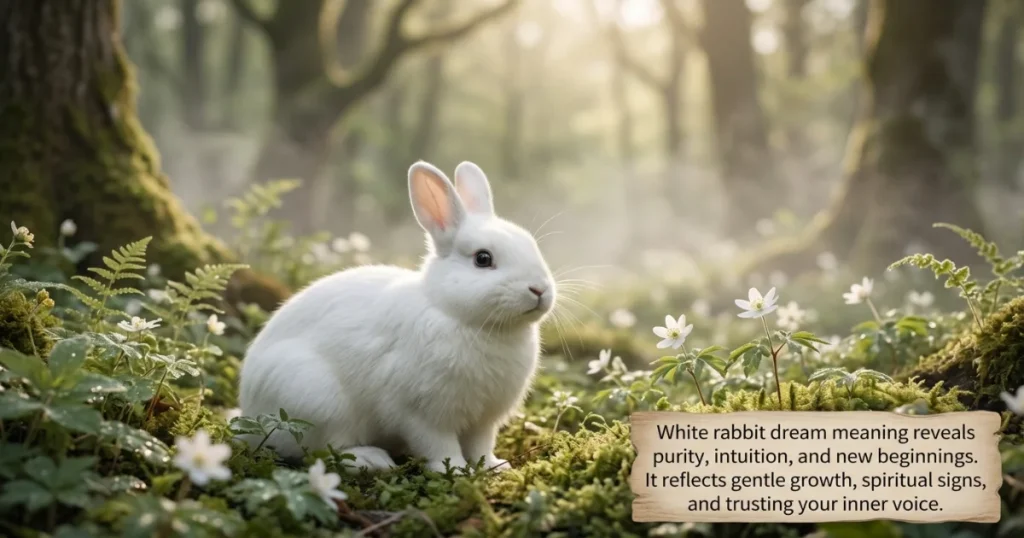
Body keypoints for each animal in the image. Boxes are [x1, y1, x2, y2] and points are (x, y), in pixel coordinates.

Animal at [237, 160, 556, 473]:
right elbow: (438, 444)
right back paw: (371, 459)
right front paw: (453, 470)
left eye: (531, 245)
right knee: (321, 451)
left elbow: (480, 444)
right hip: (315, 401)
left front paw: (493, 466)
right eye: (483, 259)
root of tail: (249, 410)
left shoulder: (483, 420)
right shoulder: (420, 412)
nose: (539, 289)